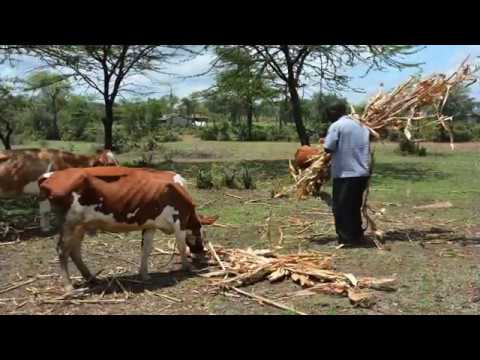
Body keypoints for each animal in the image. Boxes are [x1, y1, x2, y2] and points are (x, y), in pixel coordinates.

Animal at [38, 167, 217, 292]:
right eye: (204, 236)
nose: (201, 254)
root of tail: (50, 175)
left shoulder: (150, 225)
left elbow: (146, 249)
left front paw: (144, 274)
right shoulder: (179, 222)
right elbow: (181, 246)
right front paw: (187, 267)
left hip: (79, 226)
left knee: (74, 251)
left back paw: (91, 277)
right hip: (70, 224)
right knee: (62, 250)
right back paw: (69, 287)